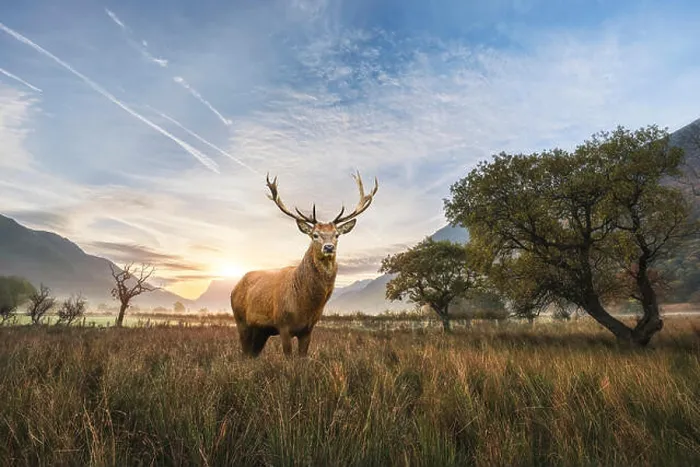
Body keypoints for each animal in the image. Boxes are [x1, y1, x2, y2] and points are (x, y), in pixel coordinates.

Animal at [230, 171, 378, 357]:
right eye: (315, 235)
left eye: (337, 235)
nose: (328, 247)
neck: (304, 305)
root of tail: (235, 287)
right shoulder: (283, 324)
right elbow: (288, 356)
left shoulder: (308, 329)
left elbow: (303, 357)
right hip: (241, 320)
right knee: (244, 353)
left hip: (261, 331)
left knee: (252, 354)